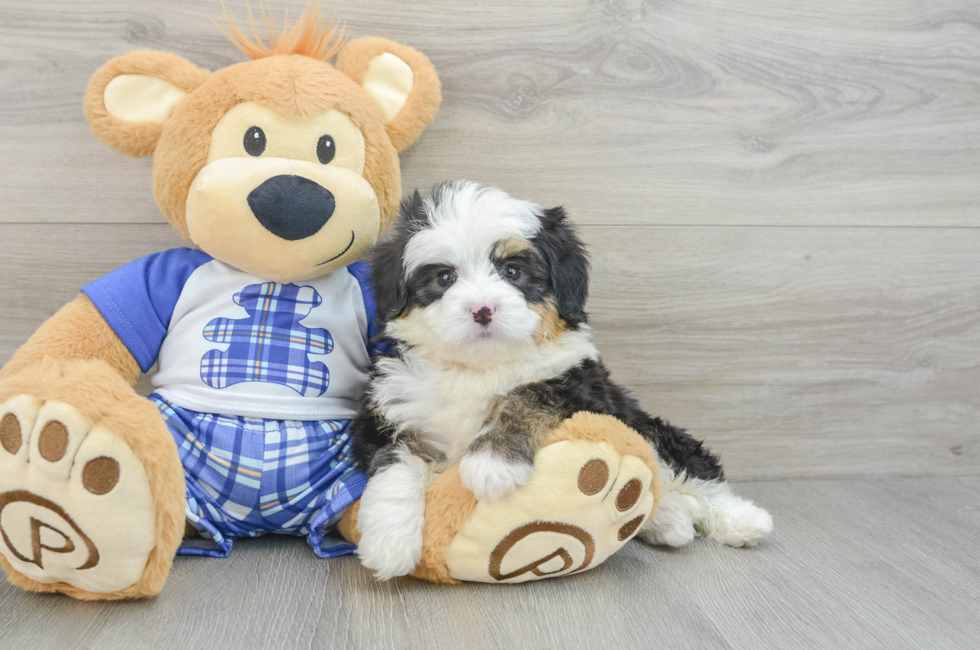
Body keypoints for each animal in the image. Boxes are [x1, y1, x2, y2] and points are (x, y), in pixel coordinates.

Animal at [352, 181, 772, 576]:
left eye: (513, 271)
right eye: (444, 277)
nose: (482, 309)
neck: (478, 368)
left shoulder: (580, 386)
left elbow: (527, 395)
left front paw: (492, 462)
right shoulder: (386, 413)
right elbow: (395, 463)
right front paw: (389, 541)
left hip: (644, 425)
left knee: (687, 469)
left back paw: (742, 520)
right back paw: (670, 521)